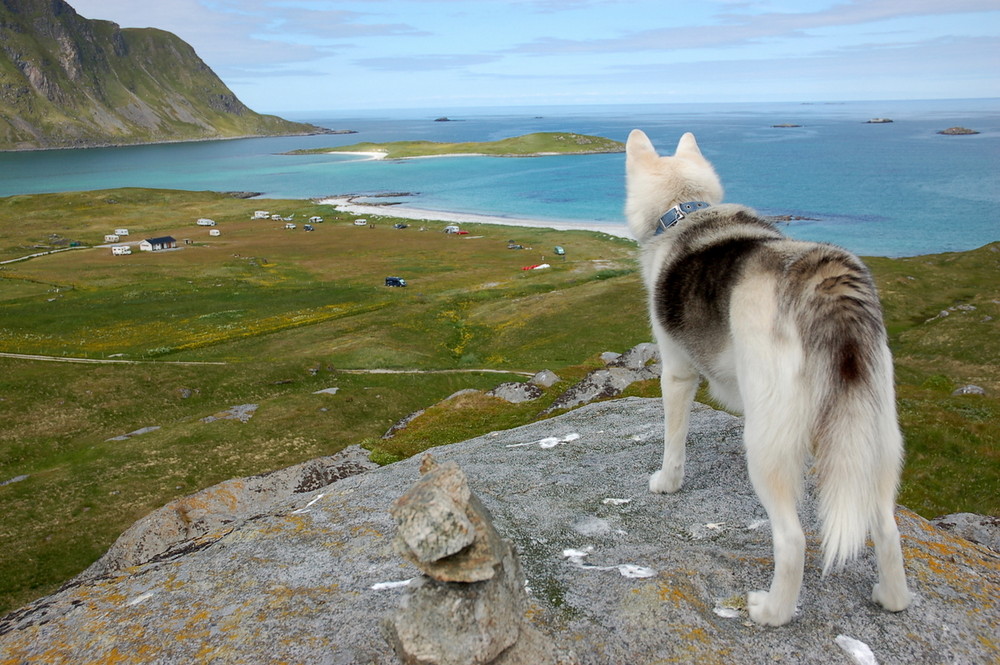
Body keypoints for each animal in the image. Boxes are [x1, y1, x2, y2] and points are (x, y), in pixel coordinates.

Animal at [624, 128, 916, 624]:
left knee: (792, 540)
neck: (686, 209)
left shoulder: (677, 374)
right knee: (886, 527)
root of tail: (826, 283)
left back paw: (771, 611)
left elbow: (673, 441)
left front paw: (667, 482)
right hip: (876, 436)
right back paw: (891, 598)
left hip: (767, 446)